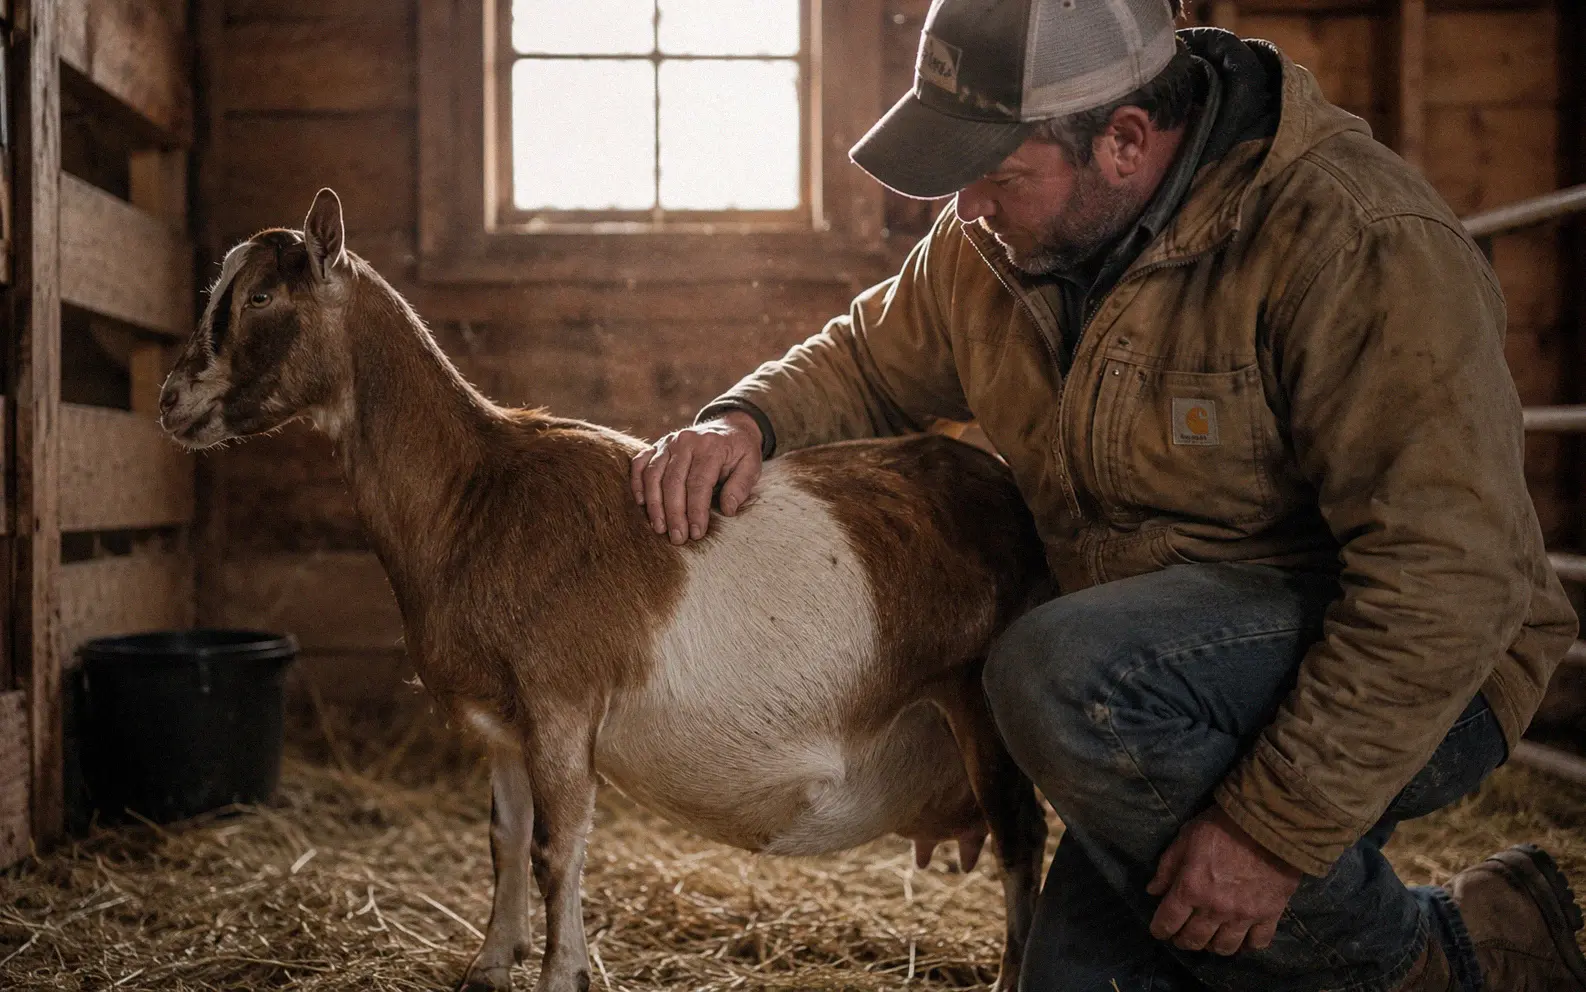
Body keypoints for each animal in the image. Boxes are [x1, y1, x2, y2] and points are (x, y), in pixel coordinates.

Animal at [159, 189, 1052, 992]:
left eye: (262, 296)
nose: (171, 402)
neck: (474, 493)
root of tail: (1005, 489)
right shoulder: (503, 722)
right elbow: (505, 840)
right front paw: (489, 964)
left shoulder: (562, 704)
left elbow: (559, 850)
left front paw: (564, 973)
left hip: (981, 699)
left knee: (1022, 839)